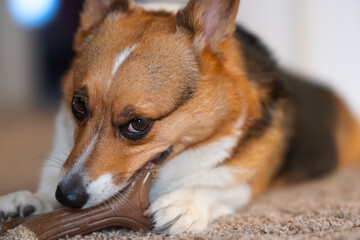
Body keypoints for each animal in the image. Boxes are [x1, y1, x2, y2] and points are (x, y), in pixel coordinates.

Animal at [0, 0, 360, 235]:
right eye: (78, 105)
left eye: (138, 124)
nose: (68, 198)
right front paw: (33, 199)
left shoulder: (245, 180)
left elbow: (217, 186)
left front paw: (185, 204)